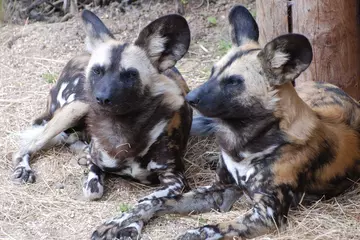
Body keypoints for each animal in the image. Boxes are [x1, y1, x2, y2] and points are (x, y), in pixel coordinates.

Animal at [10, 8, 194, 236]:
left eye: (130, 75)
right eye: (97, 71)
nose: (102, 98)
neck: (124, 132)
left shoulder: (175, 179)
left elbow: (147, 202)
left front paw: (128, 225)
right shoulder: (96, 162)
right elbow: (93, 189)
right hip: (76, 107)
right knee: (30, 144)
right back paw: (24, 168)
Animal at [90, 4, 360, 239]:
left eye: (233, 82)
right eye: (213, 71)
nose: (190, 97)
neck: (243, 145)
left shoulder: (267, 214)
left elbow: (208, 227)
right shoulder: (217, 190)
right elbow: (153, 202)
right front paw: (118, 222)